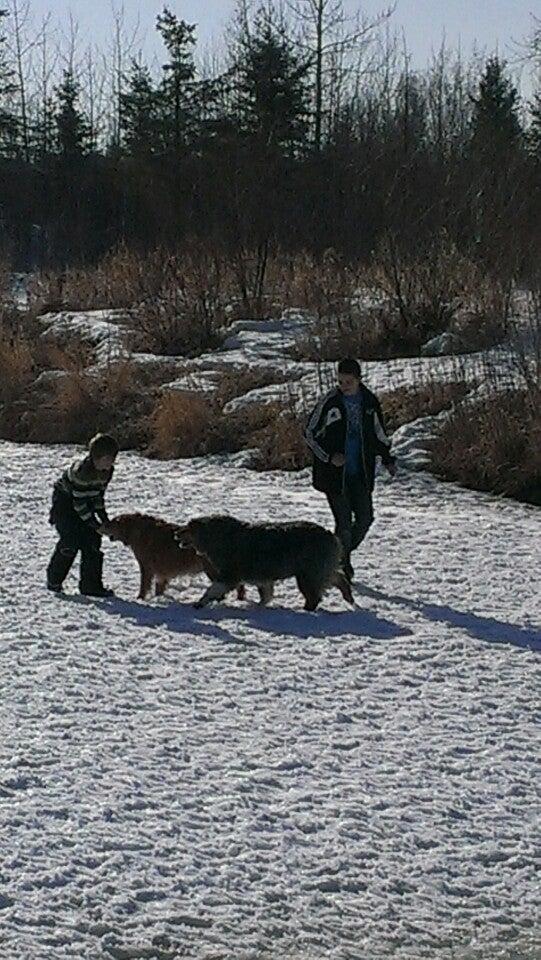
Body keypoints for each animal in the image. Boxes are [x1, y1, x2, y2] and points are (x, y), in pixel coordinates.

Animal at [100, 510, 246, 600]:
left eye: (111, 523)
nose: (98, 527)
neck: (138, 530)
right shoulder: (161, 572)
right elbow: (159, 587)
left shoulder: (146, 567)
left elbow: (144, 585)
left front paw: (140, 599)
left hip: (212, 569)